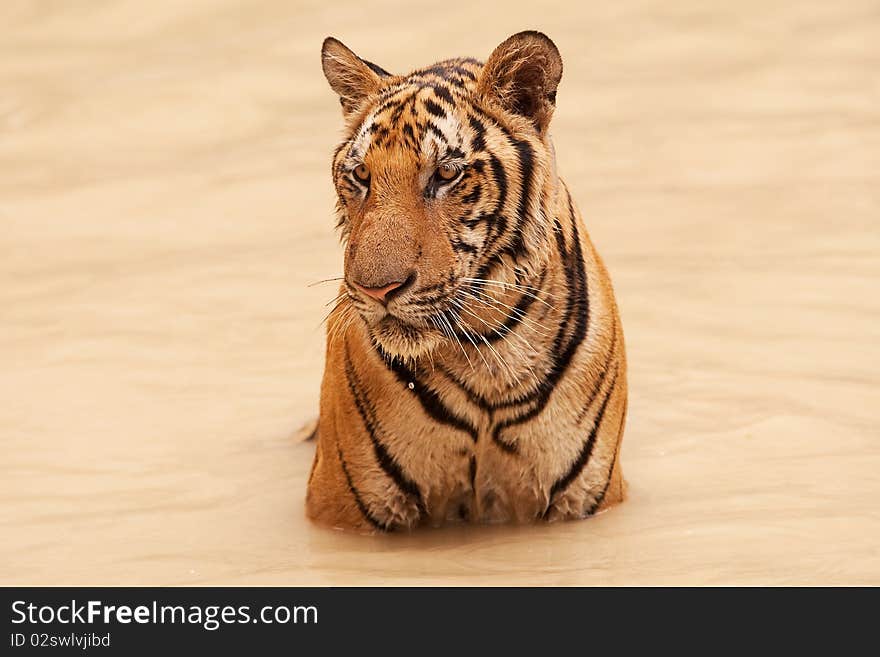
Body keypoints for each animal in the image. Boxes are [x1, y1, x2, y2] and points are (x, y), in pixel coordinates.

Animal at [306, 32, 628, 532]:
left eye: (445, 174)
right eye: (361, 175)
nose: (376, 290)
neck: (487, 356)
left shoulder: (587, 497)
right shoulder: (342, 504)